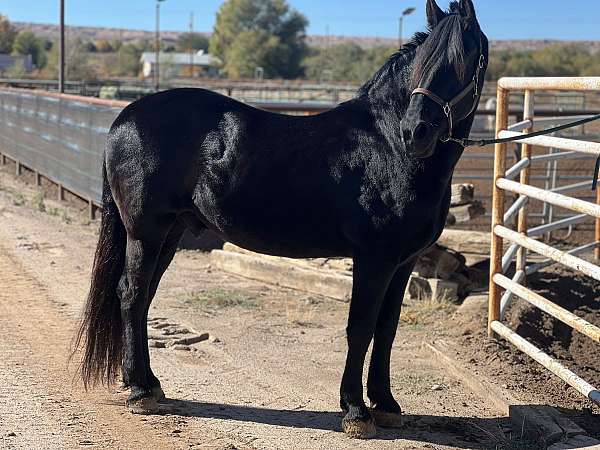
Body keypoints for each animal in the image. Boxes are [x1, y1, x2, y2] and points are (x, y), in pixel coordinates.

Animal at [75, 0, 488, 438]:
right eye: (424, 62)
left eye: (463, 59)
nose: (416, 132)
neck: (388, 147)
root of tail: (125, 118)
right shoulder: (373, 259)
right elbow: (360, 326)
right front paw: (356, 411)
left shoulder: (403, 262)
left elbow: (387, 328)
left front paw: (387, 404)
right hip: (146, 232)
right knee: (131, 294)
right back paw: (140, 391)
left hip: (169, 233)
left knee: (144, 297)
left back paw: (149, 384)